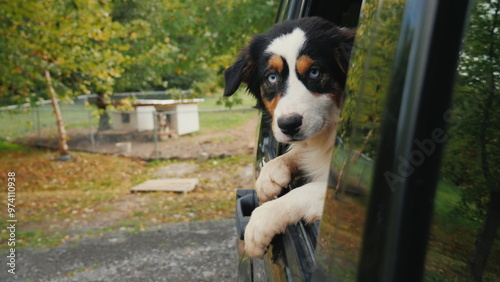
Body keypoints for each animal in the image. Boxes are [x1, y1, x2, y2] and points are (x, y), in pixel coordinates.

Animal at [223, 16, 356, 258]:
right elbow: (298, 154)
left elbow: (306, 191)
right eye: (272, 77)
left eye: (314, 72)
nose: (289, 125)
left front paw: (260, 222)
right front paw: (269, 176)